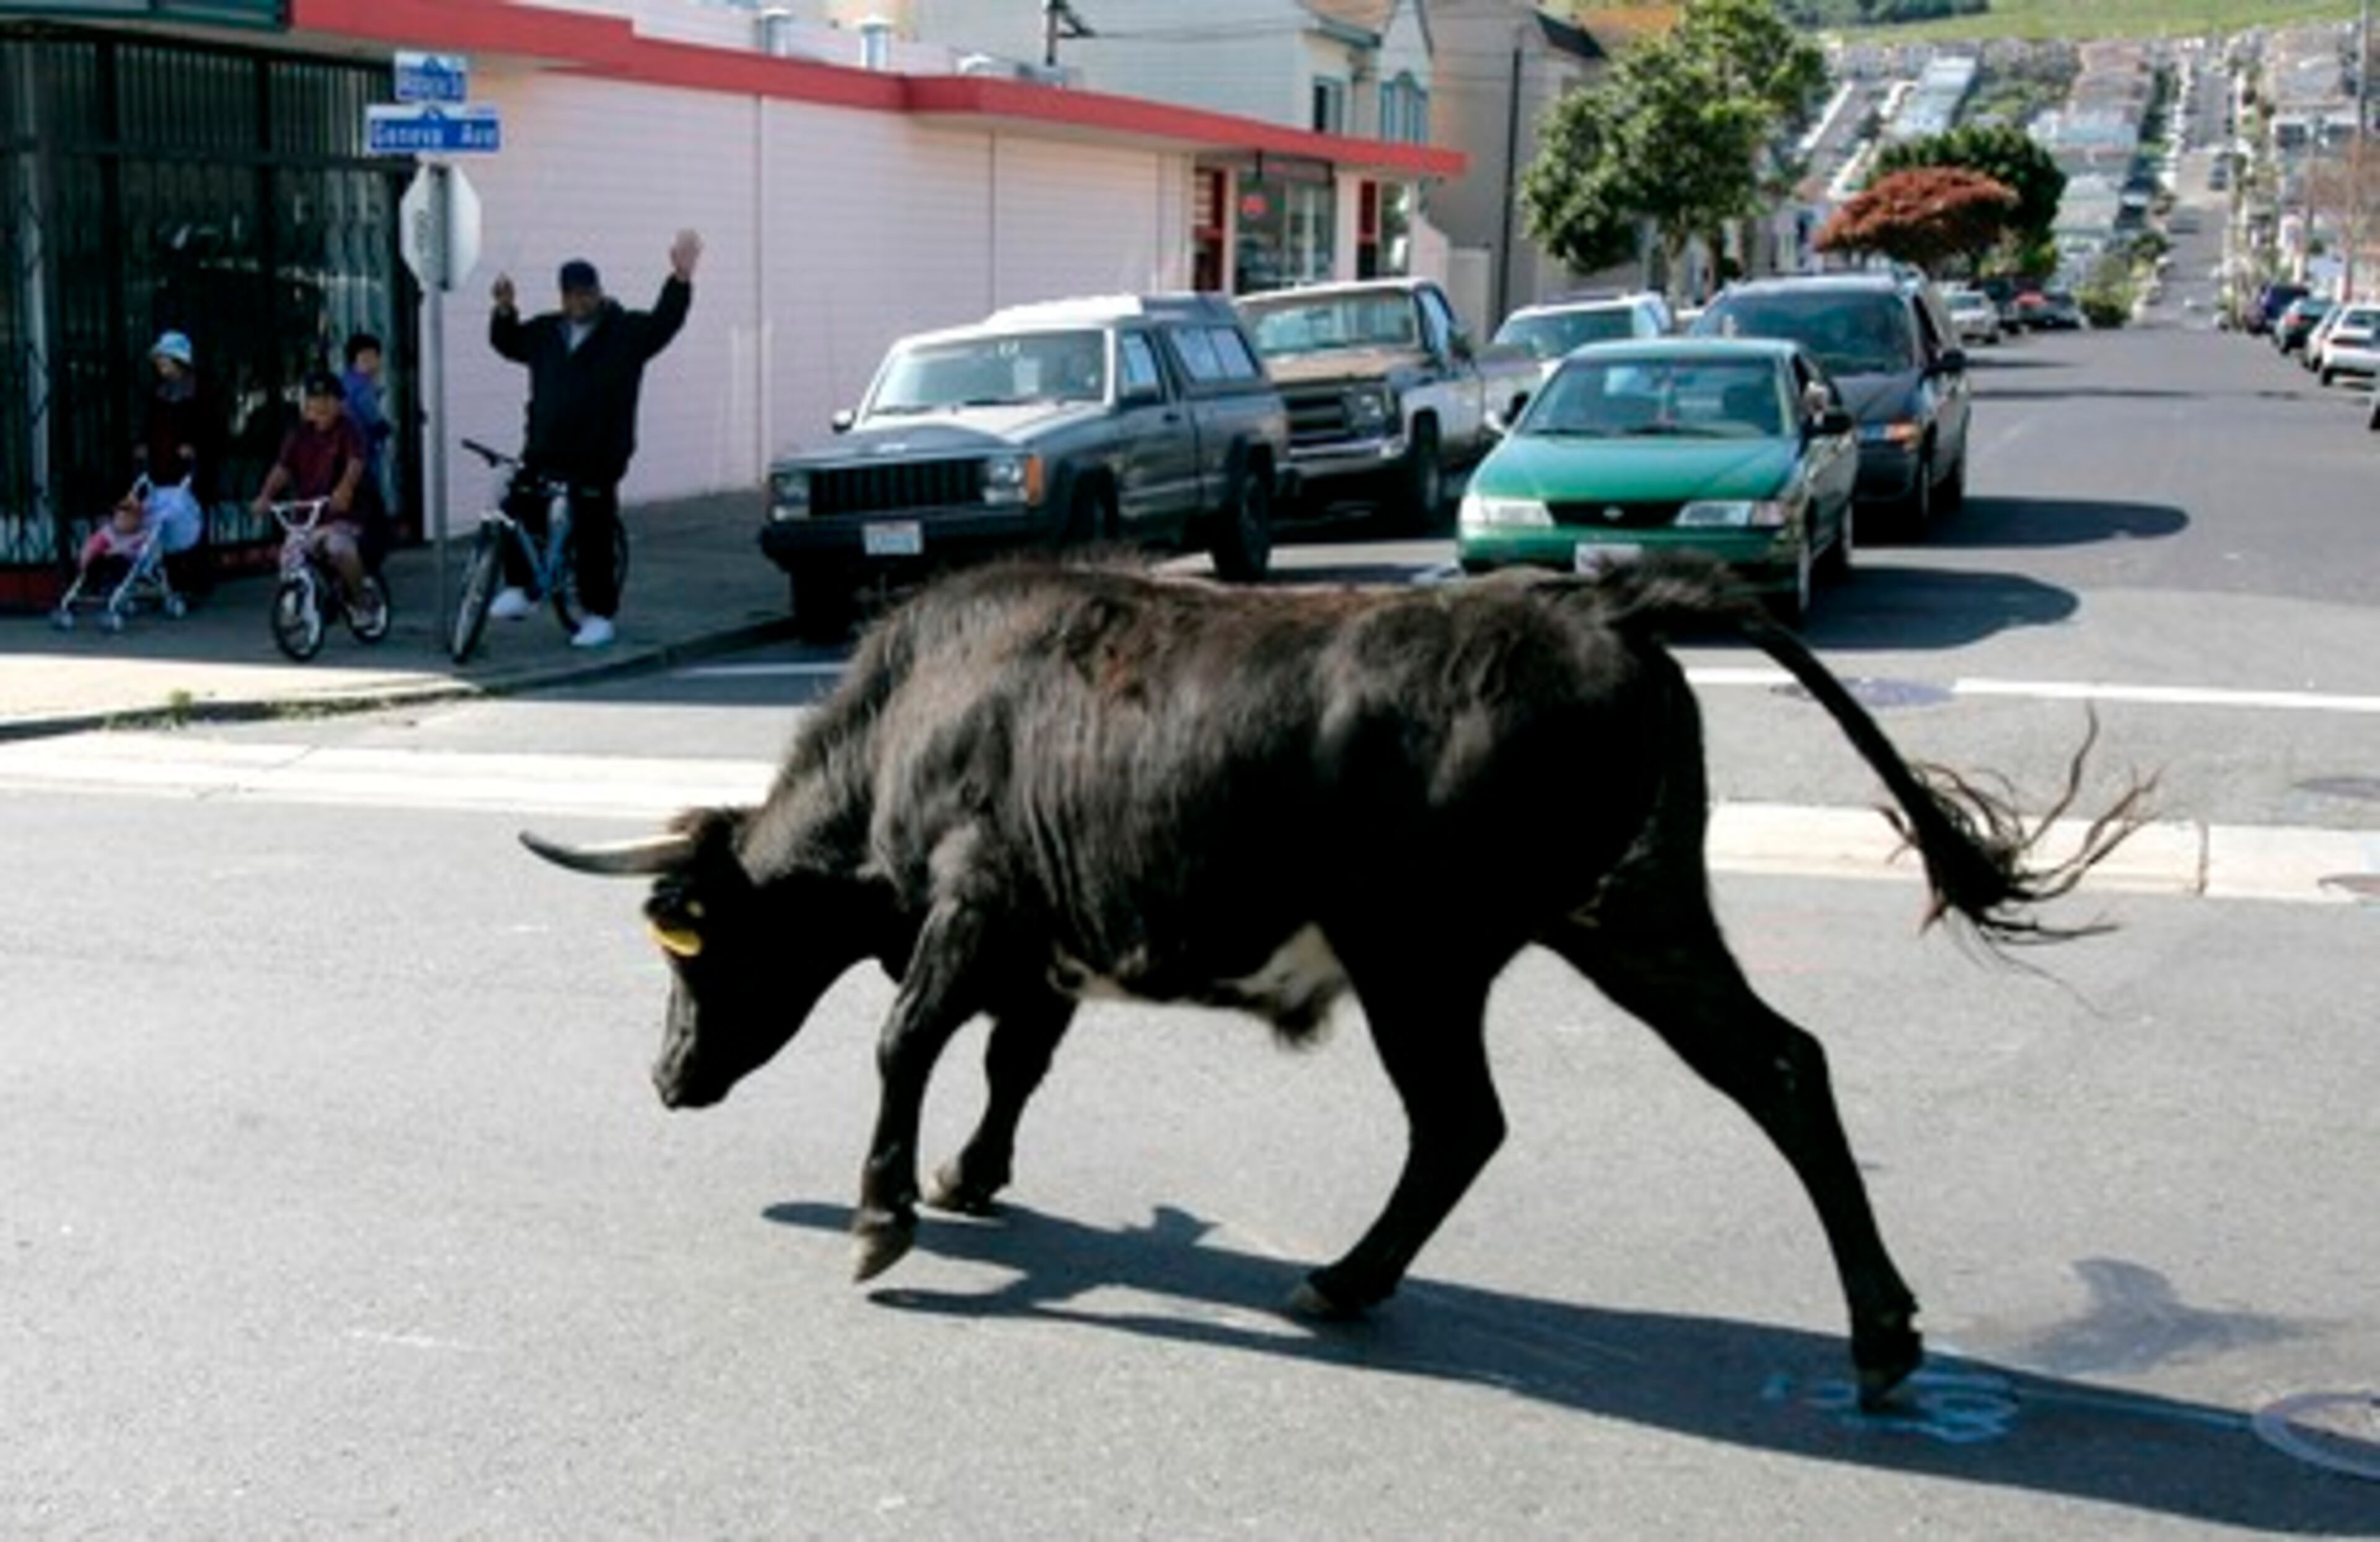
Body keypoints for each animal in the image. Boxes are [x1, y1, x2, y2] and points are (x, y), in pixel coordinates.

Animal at [523, 554, 2148, 1408]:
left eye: (683, 931)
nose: (664, 1075)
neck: (918, 714)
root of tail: (1603, 601)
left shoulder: (971, 905)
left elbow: (909, 1044)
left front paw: (881, 1215)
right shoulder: (1039, 938)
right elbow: (1012, 1059)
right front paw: (972, 1177)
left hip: (1425, 955)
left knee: (1468, 1119)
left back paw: (1346, 1277)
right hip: (1632, 915)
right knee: (1780, 1065)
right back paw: (1880, 1334)